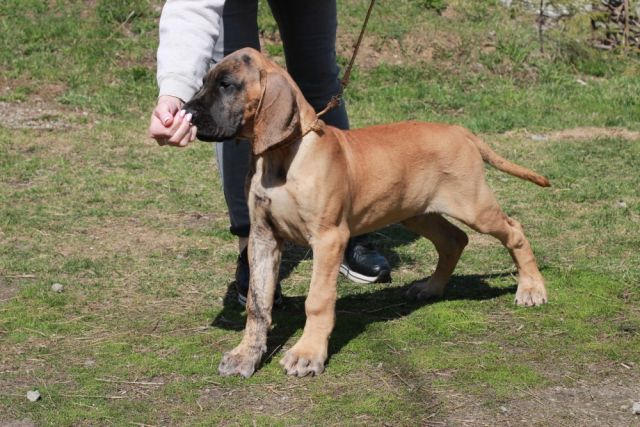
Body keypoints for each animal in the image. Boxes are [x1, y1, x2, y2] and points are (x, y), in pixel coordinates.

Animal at [183, 48, 550, 378]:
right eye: (204, 82)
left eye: (226, 85)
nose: (186, 112)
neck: (282, 156)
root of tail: (460, 131)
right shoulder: (263, 237)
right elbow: (258, 303)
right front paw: (247, 355)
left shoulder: (328, 239)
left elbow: (317, 300)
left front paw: (307, 354)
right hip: (415, 210)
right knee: (454, 240)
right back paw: (431, 288)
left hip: (474, 206)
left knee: (513, 230)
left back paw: (531, 289)